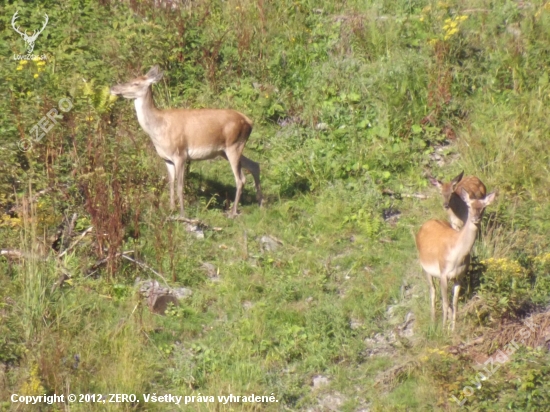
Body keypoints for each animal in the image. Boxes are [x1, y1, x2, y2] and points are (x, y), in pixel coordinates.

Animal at [111, 66, 264, 217]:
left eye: (135, 83)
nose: (114, 88)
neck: (158, 129)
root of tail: (249, 122)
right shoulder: (167, 158)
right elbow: (171, 184)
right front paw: (171, 209)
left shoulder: (180, 154)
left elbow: (180, 185)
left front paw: (182, 214)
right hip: (225, 150)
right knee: (254, 165)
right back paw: (260, 203)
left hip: (233, 145)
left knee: (241, 179)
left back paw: (233, 212)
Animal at [416, 188, 498, 330]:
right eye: (469, 206)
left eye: (483, 207)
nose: (476, 219)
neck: (456, 257)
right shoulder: (443, 273)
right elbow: (445, 302)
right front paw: (443, 328)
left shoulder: (459, 276)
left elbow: (454, 303)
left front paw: (453, 328)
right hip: (425, 267)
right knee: (432, 290)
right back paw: (433, 321)